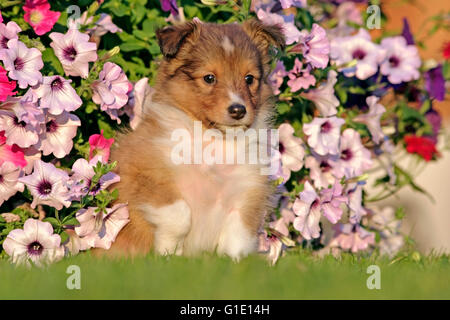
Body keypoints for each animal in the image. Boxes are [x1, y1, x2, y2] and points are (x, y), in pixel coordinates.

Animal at [106, 19, 284, 260]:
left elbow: (238, 235)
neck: (216, 140)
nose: (238, 110)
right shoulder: (146, 174)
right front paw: (169, 252)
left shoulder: (247, 190)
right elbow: (179, 215)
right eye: (209, 78)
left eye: (249, 79)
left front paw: (234, 263)